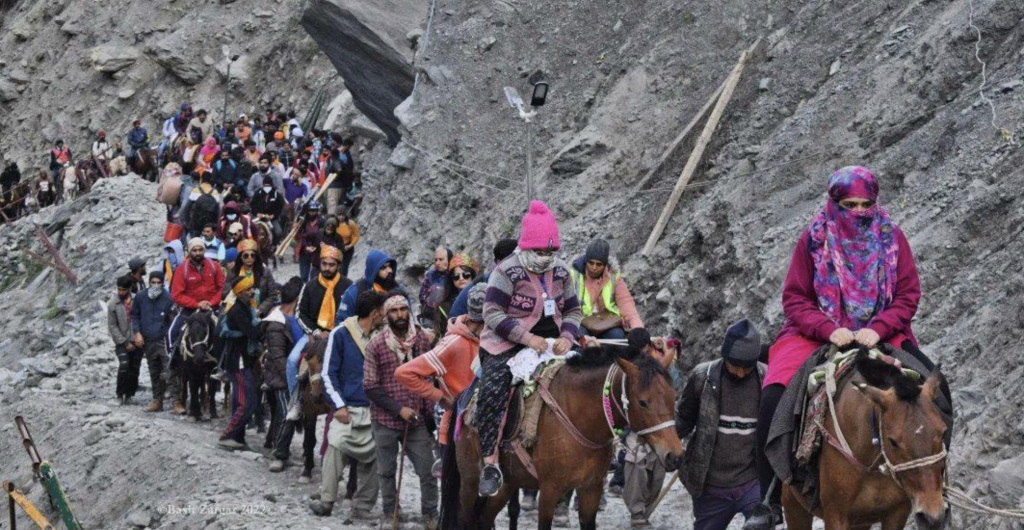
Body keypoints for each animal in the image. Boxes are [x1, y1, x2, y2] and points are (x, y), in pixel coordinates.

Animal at [444, 345, 684, 530]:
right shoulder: (550, 489)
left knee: (483, 520)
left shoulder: (591, 488)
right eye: (643, 402)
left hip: (506, 484)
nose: (674, 456)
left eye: (674, 396)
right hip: (470, 481)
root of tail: (464, 398)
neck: (579, 418)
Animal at [770, 345, 954, 530]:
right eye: (892, 442)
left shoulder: (898, 512)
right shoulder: (835, 515)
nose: (932, 517)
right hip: (793, 504)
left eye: (944, 432)